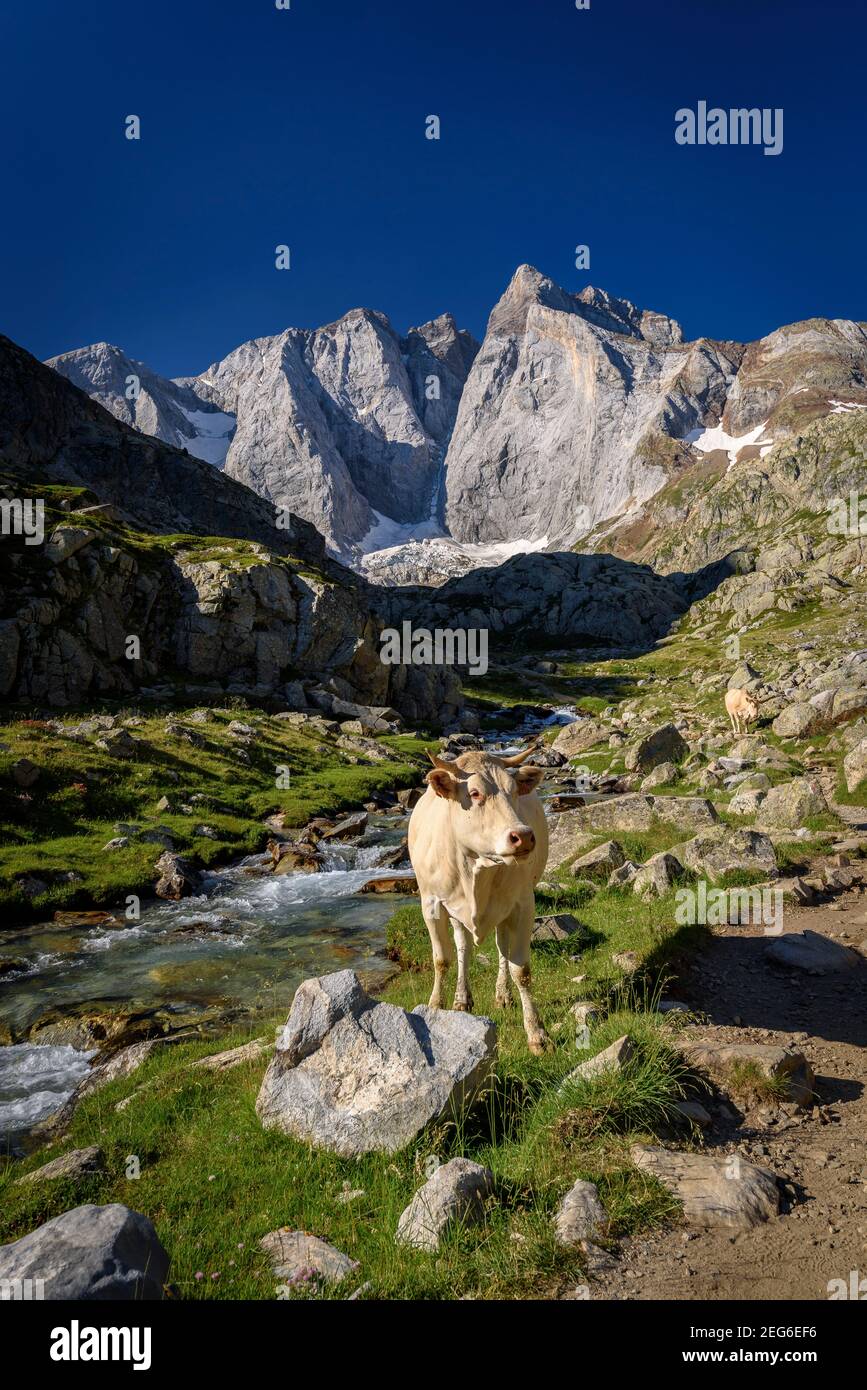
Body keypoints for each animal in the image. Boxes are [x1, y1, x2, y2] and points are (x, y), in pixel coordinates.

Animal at [408, 739, 547, 1050]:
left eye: (513, 790)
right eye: (474, 793)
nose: (523, 836)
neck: (476, 864)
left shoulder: (523, 904)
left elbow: (522, 970)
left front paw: (536, 1033)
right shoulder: (431, 904)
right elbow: (442, 959)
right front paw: (435, 1007)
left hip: (504, 911)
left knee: (502, 947)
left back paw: (502, 994)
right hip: (455, 913)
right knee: (463, 946)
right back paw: (462, 999)